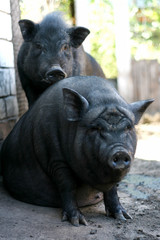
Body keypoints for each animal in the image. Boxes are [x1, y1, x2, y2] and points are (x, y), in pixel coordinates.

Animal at [0, 76, 153, 226]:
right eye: (96, 128)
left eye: (128, 127)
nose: (120, 152)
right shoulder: (55, 159)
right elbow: (67, 185)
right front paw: (78, 222)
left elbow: (112, 189)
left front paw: (124, 217)